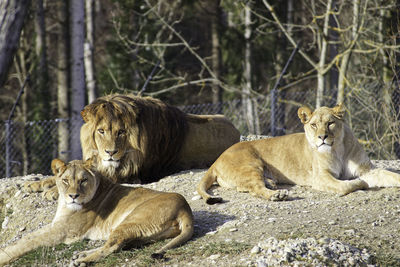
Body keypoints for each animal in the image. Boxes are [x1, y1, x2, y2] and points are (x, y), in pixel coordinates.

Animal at [0, 159, 193, 266]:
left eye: (83, 180)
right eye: (65, 180)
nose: (73, 196)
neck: (64, 203)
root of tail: (185, 208)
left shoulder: (63, 231)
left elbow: (27, 243)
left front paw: (3, 256)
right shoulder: (56, 226)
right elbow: (27, 238)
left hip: (132, 220)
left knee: (113, 246)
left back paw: (82, 261)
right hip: (144, 233)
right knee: (120, 244)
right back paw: (81, 255)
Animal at [24, 95, 241, 200]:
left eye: (121, 132)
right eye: (101, 131)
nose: (110, 152)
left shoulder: (131, 175)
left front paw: (53, 192)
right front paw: (33, 184)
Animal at [198, 103, 400, 204]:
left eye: (330, 123)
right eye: (314, 125)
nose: (322, 137)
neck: (338, 149)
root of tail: (216, 161)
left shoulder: (367, 169)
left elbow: (389, 175)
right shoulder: (320, 177)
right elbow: (346, 186)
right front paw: (359, 183)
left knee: (246, 187)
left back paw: (271, 183)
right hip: (250, 165)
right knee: (254, 188)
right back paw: (276, 195)